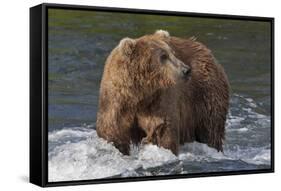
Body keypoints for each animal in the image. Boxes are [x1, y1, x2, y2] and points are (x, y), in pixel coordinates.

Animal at [95, 29, 229, 155]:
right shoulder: (115, 100)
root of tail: (206, 50)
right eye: (163, 56)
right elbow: (113, 131)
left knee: (210, 129)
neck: (140, 93)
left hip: (205, 94)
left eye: (173, 53)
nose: (186, 70)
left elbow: (162, 129)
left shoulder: (159, 99)